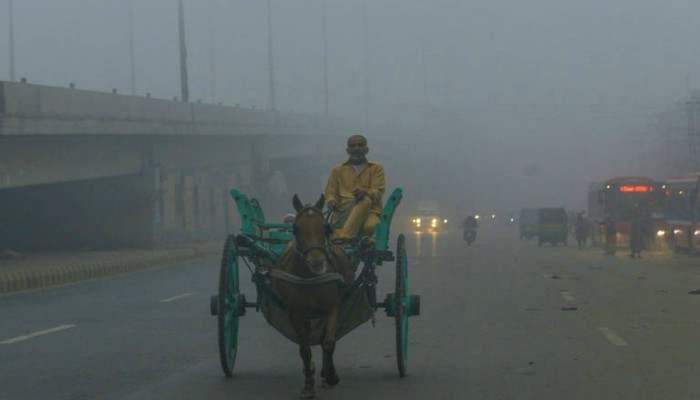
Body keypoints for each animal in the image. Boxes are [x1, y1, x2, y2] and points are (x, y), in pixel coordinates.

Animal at [274, 194, 348, 396]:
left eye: (326, 227)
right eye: (296, 229)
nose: (317, 263)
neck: (309, 277)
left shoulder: (332, 307)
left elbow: (328, 343)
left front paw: (331, 376)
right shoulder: (295, 312)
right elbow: (305, 348)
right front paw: (308, 384)